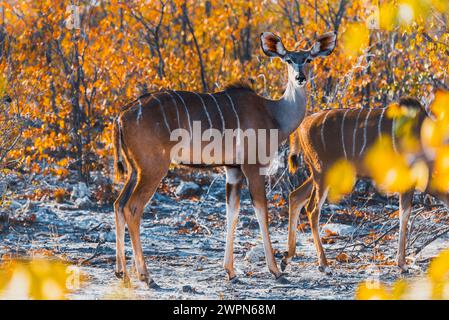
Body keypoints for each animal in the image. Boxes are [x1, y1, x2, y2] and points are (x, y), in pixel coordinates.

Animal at [112, 31, 336, 288]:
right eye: (288, 59)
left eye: (308, 59)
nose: (300, 77)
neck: (274, 114)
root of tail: (121, 116)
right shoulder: (252, 166)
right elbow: (261, 211)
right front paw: (276, 270)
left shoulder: (233, 169)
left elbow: (232, 212)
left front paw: (231, 271)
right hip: (153, 168)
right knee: (132, 207)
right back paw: (146, 276)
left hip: (135, 170)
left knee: (118, 204)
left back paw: (122, 273)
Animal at [284, 96, 434, 274]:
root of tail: (302, 125)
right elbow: (404, 215)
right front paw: (402, 264)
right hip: (323, 173)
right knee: (312, 209)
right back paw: (324, 265)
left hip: (317, 174)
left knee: (295, 196)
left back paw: (287, 257)